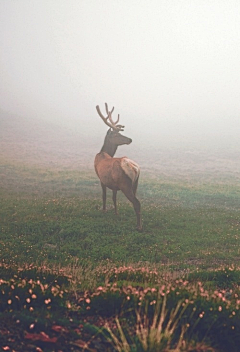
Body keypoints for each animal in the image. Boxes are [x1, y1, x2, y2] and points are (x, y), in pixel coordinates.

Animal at [94, 102, 142, 231]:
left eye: (119, 132)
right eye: (116, 134)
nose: (130, 139)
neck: (102, 153)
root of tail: (135, 168)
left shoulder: (101, 178)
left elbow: (104, 196)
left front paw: (104, 210)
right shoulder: (114, 184)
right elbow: (114, 197)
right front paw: (116, 212)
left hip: (125, 184)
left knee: (137, 203)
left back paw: (138, 226)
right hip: (135, 184)